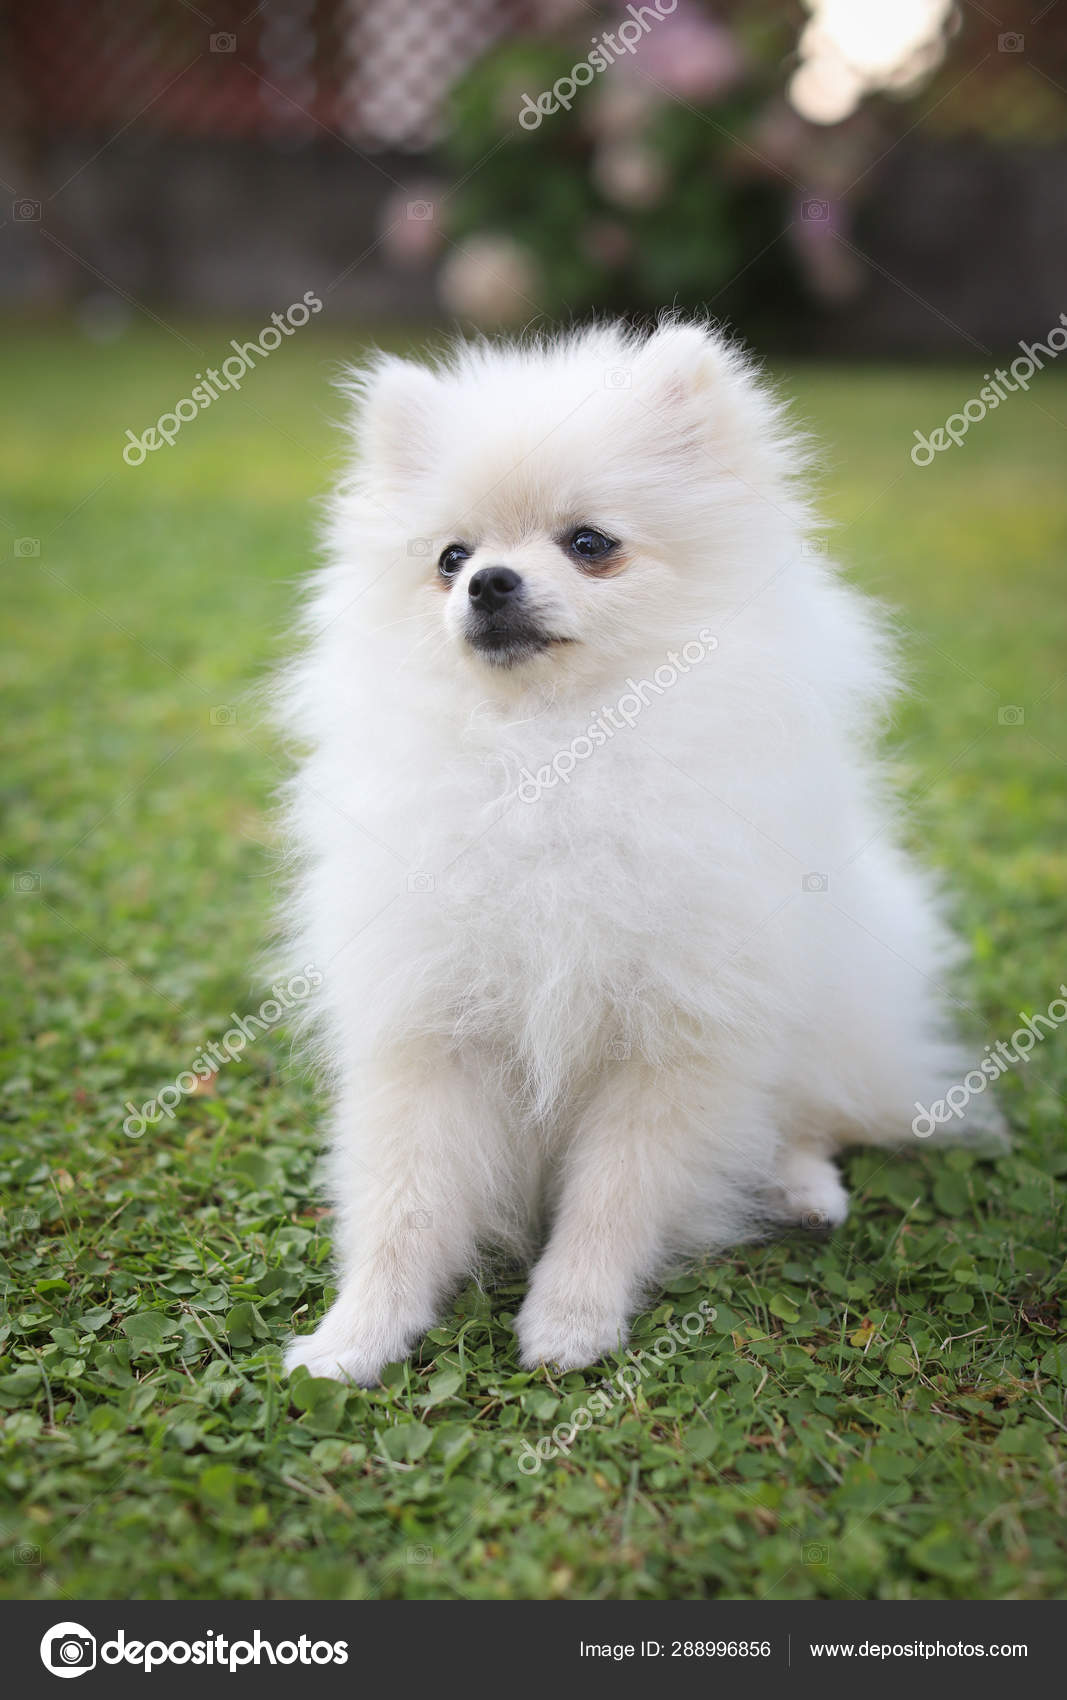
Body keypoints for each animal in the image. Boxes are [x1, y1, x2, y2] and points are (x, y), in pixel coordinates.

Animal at [278, 316, 999, 1380]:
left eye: (590, 545)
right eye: (449, 557)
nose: (489, 582)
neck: (551, 757)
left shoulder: (675, 1034)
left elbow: (615, 1196)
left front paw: (571, 1318)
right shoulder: (430, 1026)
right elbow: (405, 1203)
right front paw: (355, 1337)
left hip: (836, 1002)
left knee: (812, 1110)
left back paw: (799, 1187)